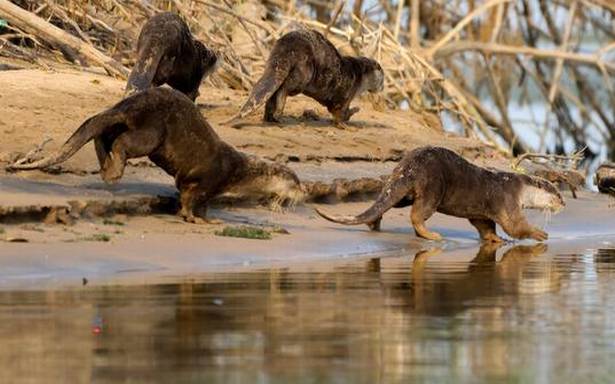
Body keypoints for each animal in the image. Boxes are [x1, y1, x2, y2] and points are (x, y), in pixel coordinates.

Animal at [8, 87, 306, 224]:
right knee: (123, 141)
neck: (238, 170)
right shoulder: (209, 180)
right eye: (296, 181)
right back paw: (114, 172)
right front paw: (197, 220)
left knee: (102, 134)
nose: (304, 192)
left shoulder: (200, 185)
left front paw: (206, 218)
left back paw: (105, 168)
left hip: (128, 122)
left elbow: (193, 198)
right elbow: (191, 200)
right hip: (153, 131)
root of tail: (130, 103)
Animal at [231, 28, 384, 127]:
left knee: (271, 89)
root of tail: (286, 45)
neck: (359, 76)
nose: (382, 88)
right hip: (304, 72)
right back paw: (278, 113)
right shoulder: (347, 94)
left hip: (274, 64)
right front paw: (345, 122)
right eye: (383, 79)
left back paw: (268, 117)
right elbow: (339, 112)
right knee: (284, 87)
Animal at [318, 147, 568, 243]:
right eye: (557, 193)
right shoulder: (508, 202)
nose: (565, 203)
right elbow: (515, 226)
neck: (519, 189)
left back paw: (374, 223)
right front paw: (539, 233)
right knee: (417, 215)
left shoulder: (481, 214)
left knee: (386, 201)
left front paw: (497, 240)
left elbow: (485, 226)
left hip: (403, 192)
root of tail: (409, 167)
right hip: (433, 189)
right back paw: (432, 235)